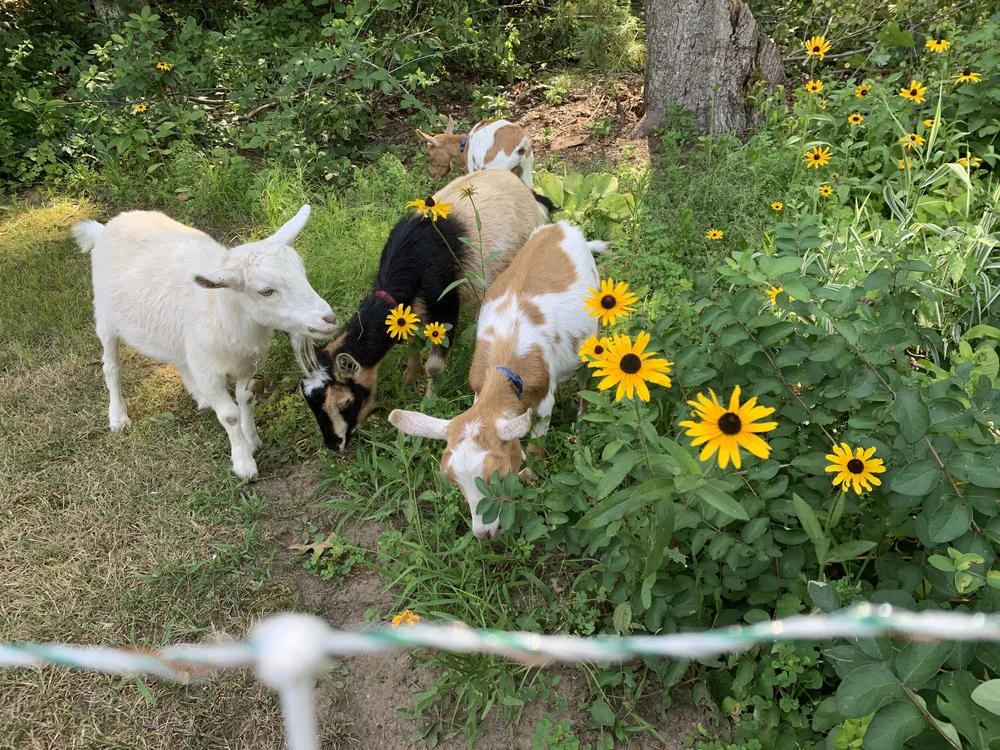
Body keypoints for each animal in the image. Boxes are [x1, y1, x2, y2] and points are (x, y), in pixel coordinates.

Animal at [73, 206, 337, 479]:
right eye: (266, 291)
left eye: (302, 273)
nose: (329, 318)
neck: (221, 311)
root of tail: (107, 226)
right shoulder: (210, 371)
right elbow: (230, 415)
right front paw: (244, 463)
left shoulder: (246, 365)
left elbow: (246, 399)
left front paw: (252, 441)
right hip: (105, 316)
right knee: (111, 367)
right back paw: (118, 417)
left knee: (181, 361)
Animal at [300, 169, 552, 454]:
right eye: (311, 406)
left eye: (344, 403)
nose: (335, 446)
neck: (410, 266)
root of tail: (525, 188)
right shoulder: (406, 315)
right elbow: (411, 341)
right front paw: (410, 375)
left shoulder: (445, 309)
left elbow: (435, 365)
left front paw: (428, 400)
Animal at [388, 220, 606, 540]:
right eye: (454, 480)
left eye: (498, 474)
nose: (483, 534)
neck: (505, 363)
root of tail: (561, 227)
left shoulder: (543, 402)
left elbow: (536, 448)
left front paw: (531, 474)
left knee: (585, 385)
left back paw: (580, 426)